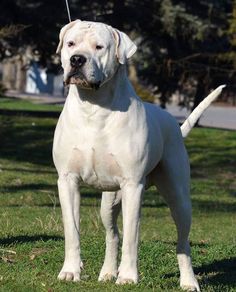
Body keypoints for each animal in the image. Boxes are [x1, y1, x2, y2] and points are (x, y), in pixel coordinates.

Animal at [53, 19, 225, 290]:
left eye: (99, 47)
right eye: (70, 43)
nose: (77, 59)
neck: (93, 106)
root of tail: (174, 124)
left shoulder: (133, 186)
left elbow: (132, 237)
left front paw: (127, 276)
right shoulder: (67, 180)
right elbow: (72, 230)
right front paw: (70, 271)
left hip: (179, 198)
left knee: (183, 242)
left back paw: (188, 281)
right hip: (109, 202)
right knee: (112, 234)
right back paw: (107, 272)